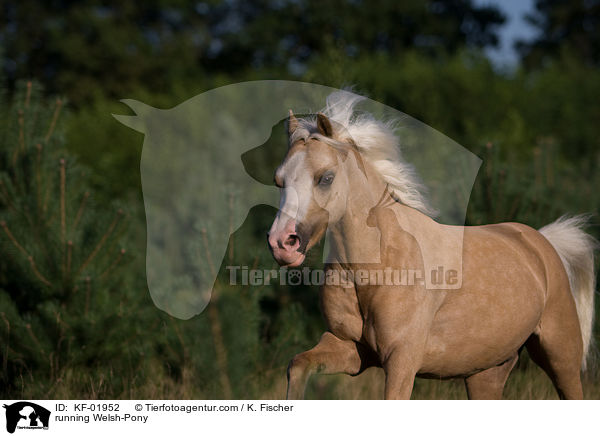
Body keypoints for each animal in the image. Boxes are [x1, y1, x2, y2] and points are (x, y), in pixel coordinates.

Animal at [268, 91, 596, 398]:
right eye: (279, 181)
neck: (373, 266)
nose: (282, 243)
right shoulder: (349, 348)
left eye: (325, 177)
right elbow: (298, 365)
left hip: (560, 355)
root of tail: (541, 242)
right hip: (487, 373)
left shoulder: (402, 359)